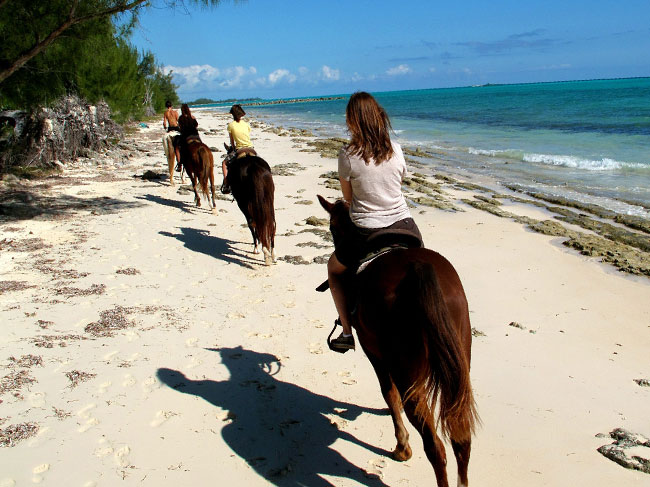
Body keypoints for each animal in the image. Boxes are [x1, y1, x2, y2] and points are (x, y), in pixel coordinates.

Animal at [316, 196, 478, 486]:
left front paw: (402, 446)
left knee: (435, 447)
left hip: (406, 370)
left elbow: (388, 393)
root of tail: (418, 269)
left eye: (333, 228)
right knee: (462, 439)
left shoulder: (373, 351)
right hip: (459, 363)